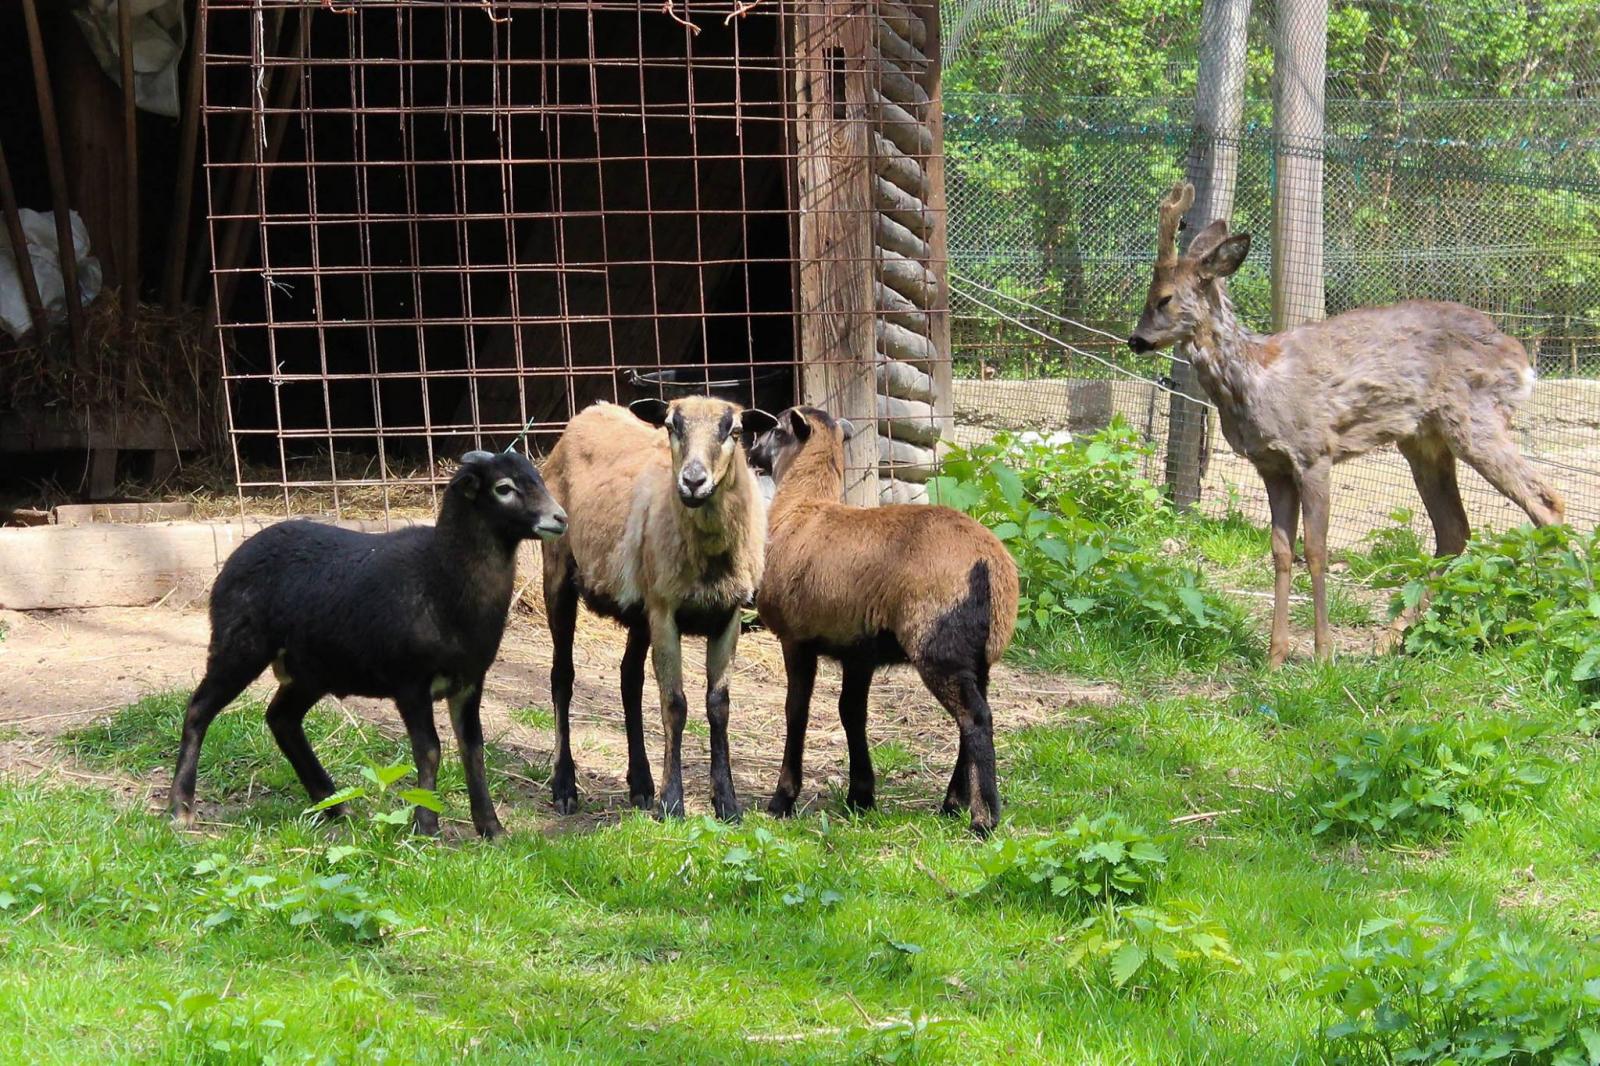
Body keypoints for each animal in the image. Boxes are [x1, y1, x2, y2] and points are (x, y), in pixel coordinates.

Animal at [168, 444, 566, 832]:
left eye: (537, 477)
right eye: (504, 488)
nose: (560, 518)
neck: (439, 576)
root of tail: (235, 558)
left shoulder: (470, 681)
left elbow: (474, 750)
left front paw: (491, 828)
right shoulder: (410, 682)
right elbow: (430, 750)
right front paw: (426, 826)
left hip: (312, 670)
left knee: (281, 719)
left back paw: (334, 804)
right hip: (239, 646)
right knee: (199, 710)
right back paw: (180, 807)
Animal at [540, 393, 777, 816]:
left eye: (733, 431)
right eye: (671, 425)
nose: (694, 481)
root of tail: (589, 411)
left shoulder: (728, 616)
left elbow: (718, 706)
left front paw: (727, 802)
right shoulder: (666, 613)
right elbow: (674, 704)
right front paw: (672, 801)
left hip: (640, 610)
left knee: (628, 680)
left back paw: (641, 783)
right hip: (559, 574)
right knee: (562, 676)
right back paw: (564, 785)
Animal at [752, 404, 1024, 832]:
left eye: (776, 430)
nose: (751, 448)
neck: (801, 508)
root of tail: (989, 563)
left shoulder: (796, 639)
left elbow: (796, 712)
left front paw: (783, 799)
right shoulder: (858, 650)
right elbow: (852, 713)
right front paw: (861, 796)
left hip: (938, 644)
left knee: (977, 718)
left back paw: (982, 818)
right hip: (979, 653)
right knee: (973, 716)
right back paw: (952, 803)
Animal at [1126, 182, 1561, 665]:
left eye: (1164, 297)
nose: (1135, 340)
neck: (1256, 381)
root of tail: (1520, 358)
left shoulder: (1314, 451)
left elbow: (1316, 549)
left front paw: (1322, 652)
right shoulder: (1271, 464)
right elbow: (1281, 550)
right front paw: (1275, 656)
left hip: (1475, 420)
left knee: (1547, 502)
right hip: (1424, 440)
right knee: (1455, 530)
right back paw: (1390, 639)